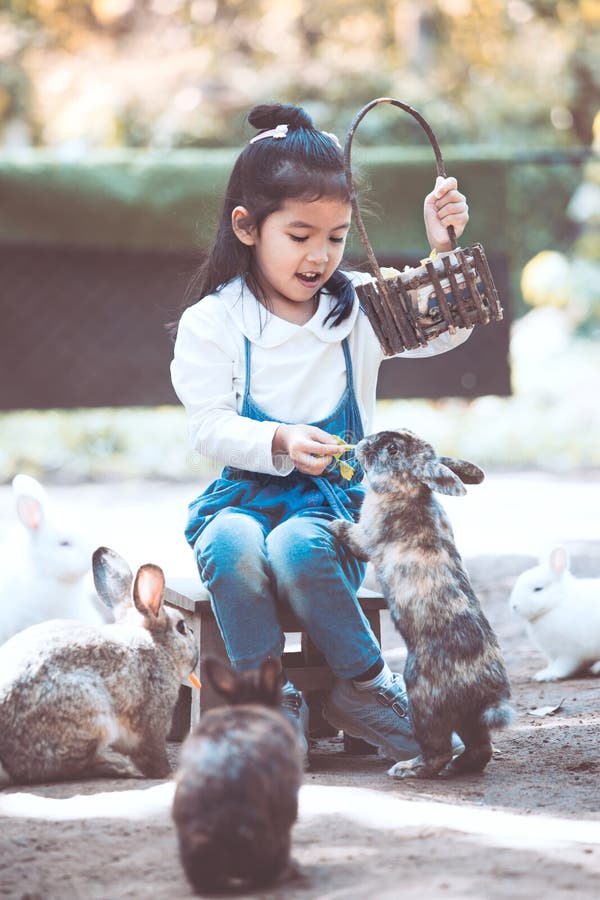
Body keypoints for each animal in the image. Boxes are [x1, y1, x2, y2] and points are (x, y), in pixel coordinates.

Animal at [330, 432, 512, 776]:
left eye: (392, 449)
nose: (363, 441)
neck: (408, 489)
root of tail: (485, 691)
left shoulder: (366, 536)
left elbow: (353, 535)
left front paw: (334, 525)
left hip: (423, 701)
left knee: (436, 751)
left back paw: (408, 769)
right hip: (468, 720)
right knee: (480, 747)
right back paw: (459, 767)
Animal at [508, 548, 600, 684]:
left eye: (538, 589)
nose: (514, 606)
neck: (557, 603)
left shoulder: (569, 652)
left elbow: (562, 666)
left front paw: (545, 676)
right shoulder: (552, 653)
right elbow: (552, 664)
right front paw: (545, 672)